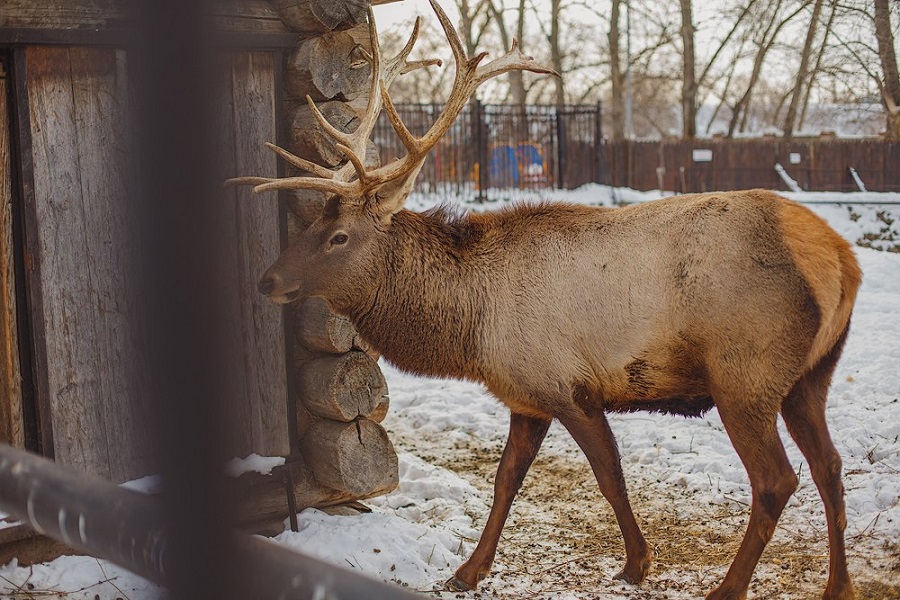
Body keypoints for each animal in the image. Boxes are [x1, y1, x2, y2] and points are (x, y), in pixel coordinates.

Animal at [229, 2, 860, 596]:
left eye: (337, 236)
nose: (267, 280)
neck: (472, 330)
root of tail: (839, 258)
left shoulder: (568, 385)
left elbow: (609, 475)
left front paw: (637, 563)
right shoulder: (525, 395)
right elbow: (505, 480)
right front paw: (468, 571)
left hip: (744, 373)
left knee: (778, 479)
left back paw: (729, 587)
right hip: (809, 375)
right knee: (829, 465)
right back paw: (838, 584)